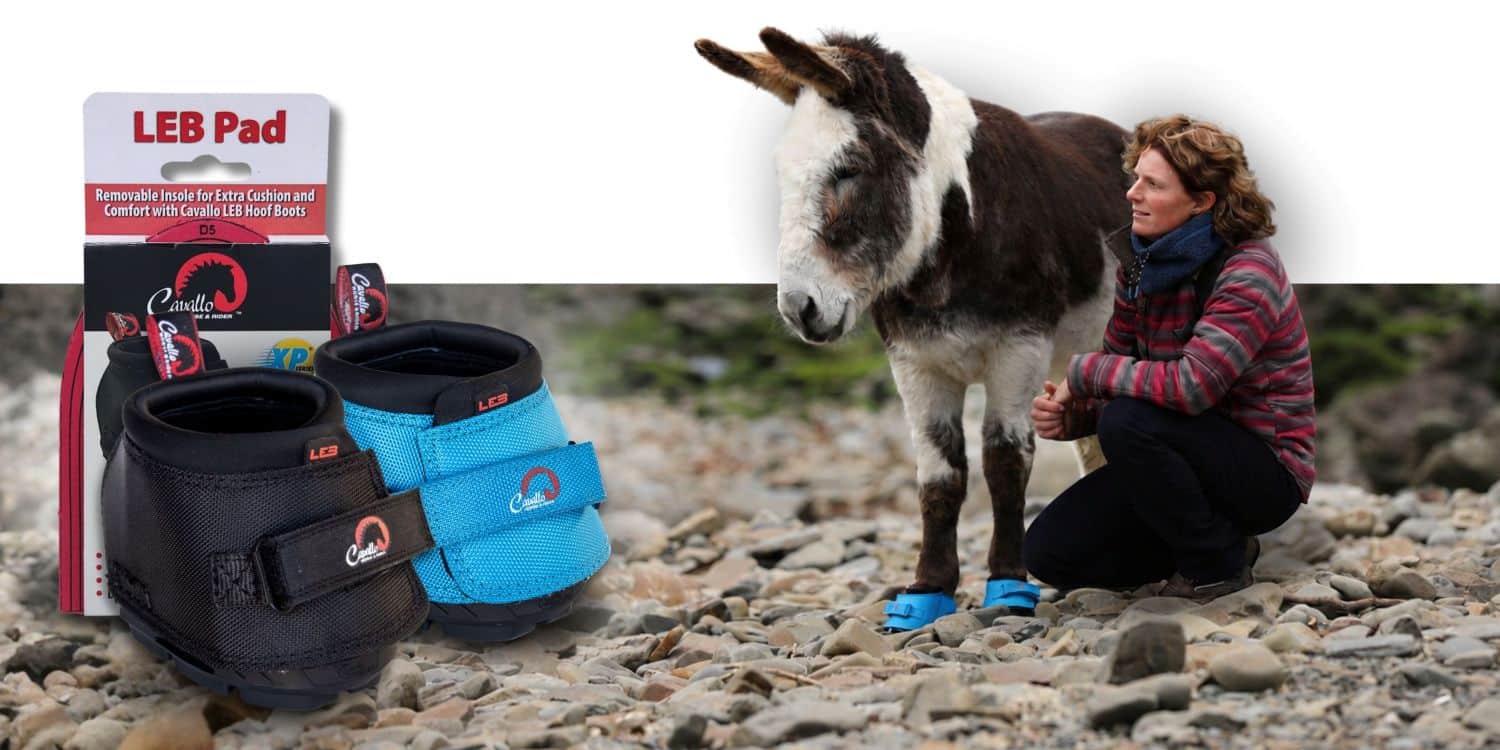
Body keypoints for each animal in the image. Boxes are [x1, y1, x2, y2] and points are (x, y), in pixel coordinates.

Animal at [695, 28, 1130, 625]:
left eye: (849, 169)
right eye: (781, 173)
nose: (798, 309)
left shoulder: (1019, 347)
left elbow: (1005, 462)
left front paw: (1008, 586)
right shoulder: (915, 362)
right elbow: (939, 476)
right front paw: (928, 590)